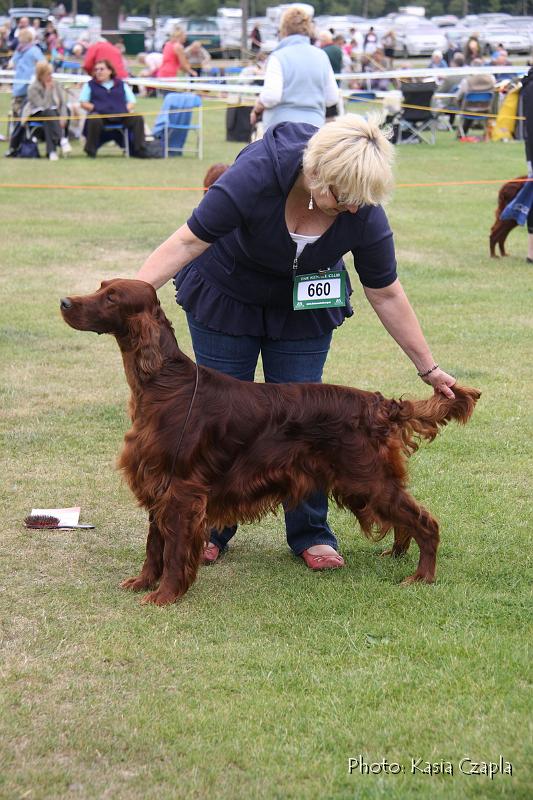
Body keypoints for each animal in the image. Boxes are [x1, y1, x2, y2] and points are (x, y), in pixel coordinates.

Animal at [60, 282, 480, 608]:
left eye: (112, 297)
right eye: (101, 286)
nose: (64, 302)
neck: (165, 384)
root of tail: (380, 404)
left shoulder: (181, 491)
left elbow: (174, 549)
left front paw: (164, 595)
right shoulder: (156, 483)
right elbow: (153, 544)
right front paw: (143, 582)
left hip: (367, 479)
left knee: (425, 521)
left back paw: (422, 575)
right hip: (365, 485)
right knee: (403, 519)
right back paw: (395, 554)